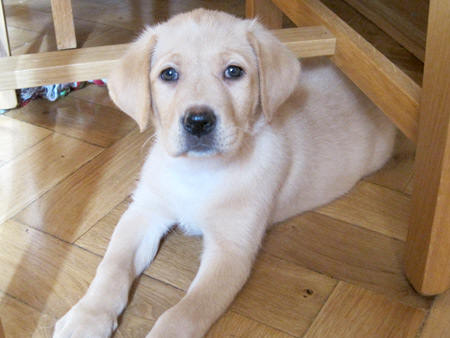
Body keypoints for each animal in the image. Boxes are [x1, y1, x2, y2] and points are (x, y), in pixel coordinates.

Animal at [54, 7, 396, 338]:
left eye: (234, 71)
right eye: (168, 74)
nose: (198, 122)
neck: (199, 172)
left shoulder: (231, 251)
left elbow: (186, 312)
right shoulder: (144, 212)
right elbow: (112, 267)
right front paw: (86, 318)